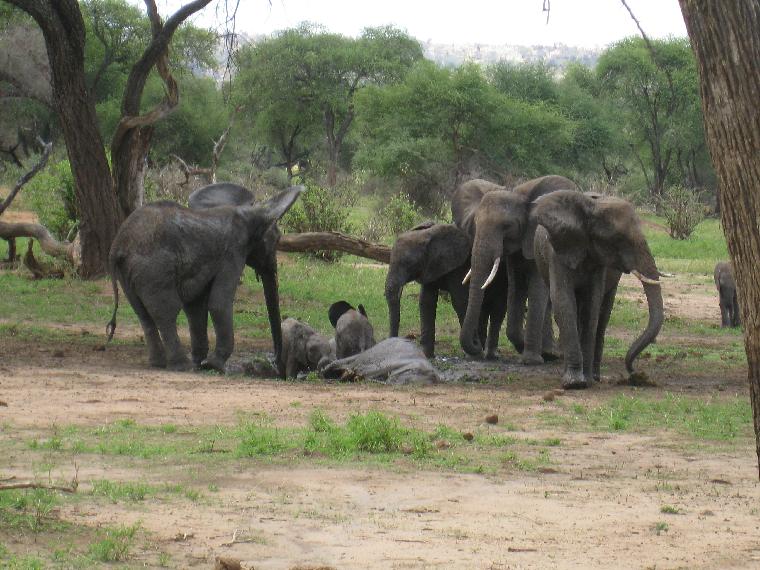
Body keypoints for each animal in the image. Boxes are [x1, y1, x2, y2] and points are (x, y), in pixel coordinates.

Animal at [107, 184, 302, 370]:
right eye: (276, 239)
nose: (273, 361)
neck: (247, 213)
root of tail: (117, 246)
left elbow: (196, 307)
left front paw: (200, 362)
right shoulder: (233, 252)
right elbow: (219, 303)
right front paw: (214, 365)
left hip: (128, 273)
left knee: (144, 315)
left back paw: (159, 364)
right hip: (153, 269)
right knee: (166, 312)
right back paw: (182, 366)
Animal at [382, 221, 508, 356]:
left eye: (409, 264)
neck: (428, 235)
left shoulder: (459, 267)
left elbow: (460, 302)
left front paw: (474, 353)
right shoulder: (430, 267)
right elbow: (426, 302)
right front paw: (426, 355)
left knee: (497, 309)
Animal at [452, 174, 576, 360]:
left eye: (506, 226)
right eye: (475, 224)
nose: (477, 345)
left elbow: (537, 288)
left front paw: (531, 359)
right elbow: (515, 287)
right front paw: (525, 346)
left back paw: (553, 353)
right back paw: (551, 352)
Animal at [532, 190, 664, 386]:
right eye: (618, 239)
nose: (635, 372)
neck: (591, 209)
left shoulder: (599, 261)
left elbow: (592, 304)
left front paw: (585, 381)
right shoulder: (557, 252)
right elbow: (563, 300)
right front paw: (574, 383)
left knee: (602, 317)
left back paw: (594, 376)